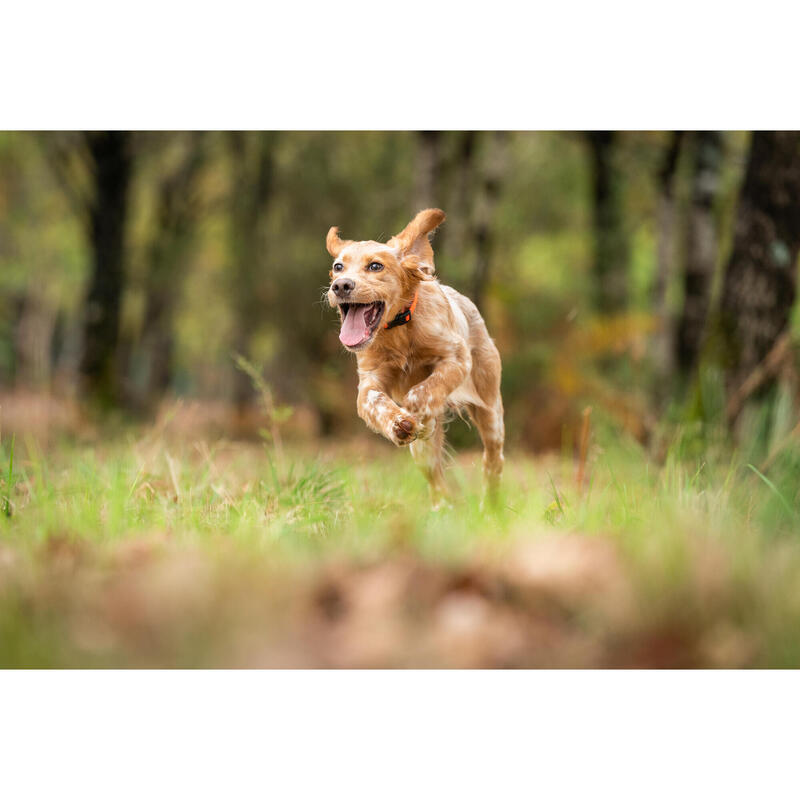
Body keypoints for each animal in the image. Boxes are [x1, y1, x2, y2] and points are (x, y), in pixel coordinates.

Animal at [326, 208, 504, 506]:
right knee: (437, 483)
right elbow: (375, 401)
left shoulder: (457, 359)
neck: (400, 330)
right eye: (338, 267)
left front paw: (416, 411)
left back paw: (490, 504)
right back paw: (442, 508)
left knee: (493, 460)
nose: (340, 286)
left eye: (376, 266)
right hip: (422, 455)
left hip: (490, 412)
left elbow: (424, 390)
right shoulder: (368, 382)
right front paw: (399, 422)